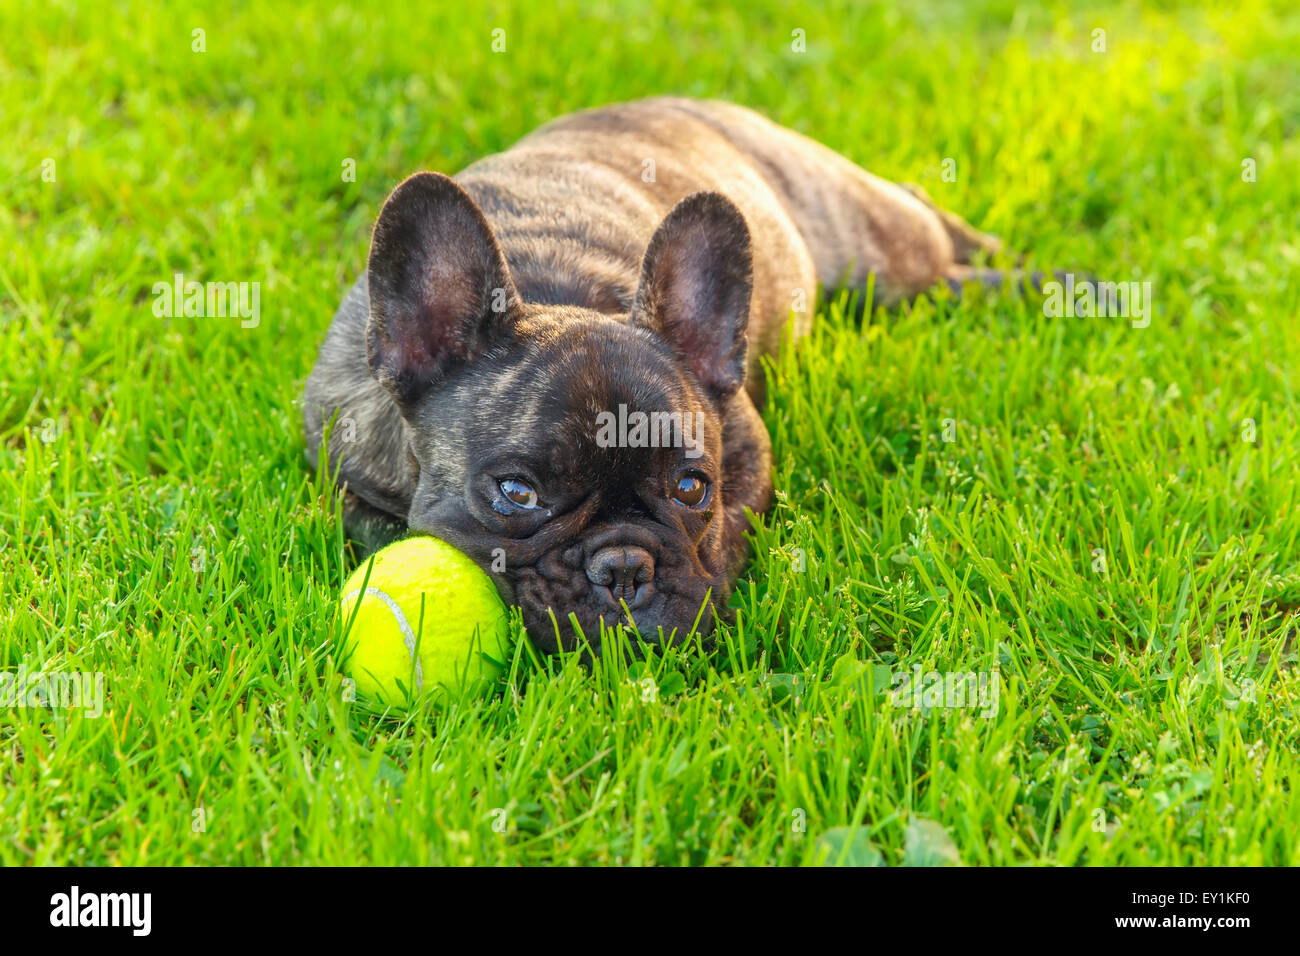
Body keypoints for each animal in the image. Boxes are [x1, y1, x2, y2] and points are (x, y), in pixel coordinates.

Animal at [304, 97, 1003, 655]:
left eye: (694, 488)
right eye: (517, 493)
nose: (623, 568)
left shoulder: (748, 449)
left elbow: (728, 537)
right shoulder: (339, 477)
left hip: (879, 253)